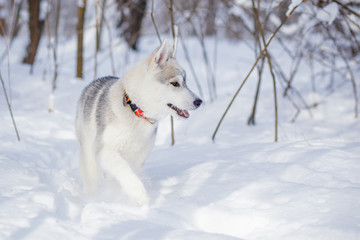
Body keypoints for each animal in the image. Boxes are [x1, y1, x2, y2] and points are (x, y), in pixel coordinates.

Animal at [75, 39, 202, 204]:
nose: (199, 101)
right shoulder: (103, 149)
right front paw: (140, 195)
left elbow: (129, 174)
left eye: (185, 82)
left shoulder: (139, 157)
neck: (135, 111)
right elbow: (125, 171)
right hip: (88, 153)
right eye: (175, 83)